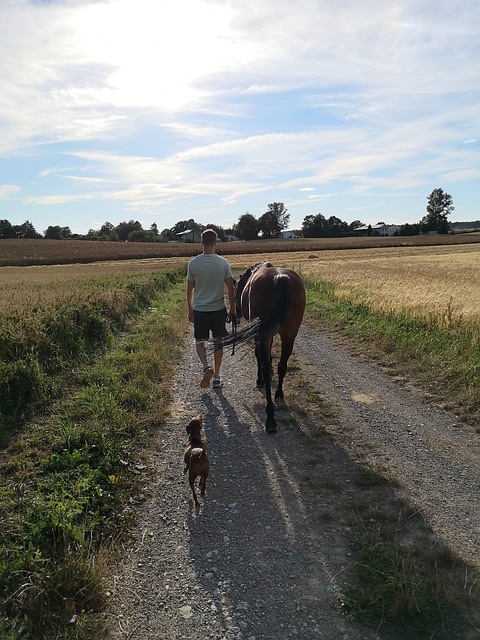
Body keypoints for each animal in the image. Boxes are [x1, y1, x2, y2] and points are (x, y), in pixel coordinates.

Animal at [223, 262, 306, 436]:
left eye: (236, 290)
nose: (234, 316)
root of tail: (280, 278)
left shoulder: (259, 335)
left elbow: (259, 357)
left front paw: (259, 379)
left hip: (266, 333)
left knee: (266, 368)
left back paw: (270, 419)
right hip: (289, 334)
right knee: (283, 366)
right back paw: (279, 395)